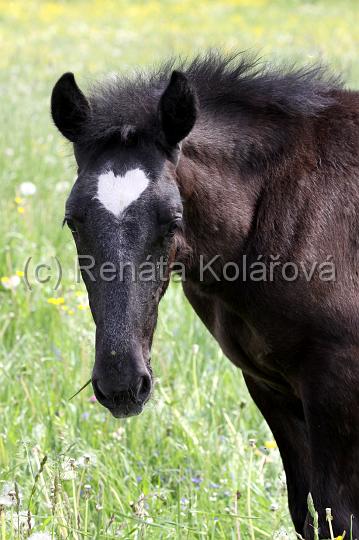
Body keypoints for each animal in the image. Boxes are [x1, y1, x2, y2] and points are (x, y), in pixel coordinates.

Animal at [50, 51, 359, 540]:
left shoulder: (336, 384)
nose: (121, 385)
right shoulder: (271, 387)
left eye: (173, 220)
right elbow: (307, 513)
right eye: (72, 221)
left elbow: (338, 517)